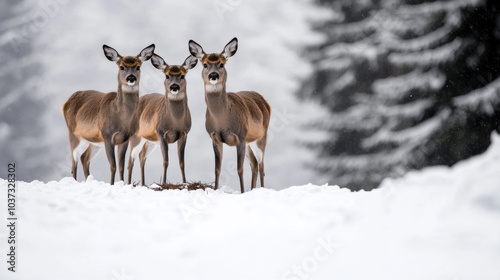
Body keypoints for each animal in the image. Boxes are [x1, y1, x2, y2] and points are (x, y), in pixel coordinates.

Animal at [63, 43, 155, 185]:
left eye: (138, 67)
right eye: (121, 67)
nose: (131, 78)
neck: (120, 117)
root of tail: (66, 102)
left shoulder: (125, 138)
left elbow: (121, 166)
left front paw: (122, 183)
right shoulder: (107, 135)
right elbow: (113, 166)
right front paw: (112, 184)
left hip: (93, 141)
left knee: (84, 158)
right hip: (73, 133)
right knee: (74, 161)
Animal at [127, 52, 197, 186]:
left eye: (182, 76)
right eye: (167, 75)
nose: (174, 86)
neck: (175, 122)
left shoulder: (184, 133)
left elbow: (182, 162)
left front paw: (184, 182)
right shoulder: (161, 132)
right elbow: (165, 161)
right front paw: (164, 183)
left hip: (150, 140)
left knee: (142, 156)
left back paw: (143, 183)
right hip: (136, 136)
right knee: (130, 160)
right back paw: (128, 183)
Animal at [189, 38, 272, 194]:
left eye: (222, 64)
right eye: (205, 64)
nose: (213, 75)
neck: (222, 119)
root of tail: (265, 101)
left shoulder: (240, 135)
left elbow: (239, 169)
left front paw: (242, 192)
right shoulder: (214, 137)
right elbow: (217, 168)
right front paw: (216, 190)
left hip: (261, 137)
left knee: (261, 165)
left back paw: (261, 190)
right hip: (249, 141)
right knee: (254, 165)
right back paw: (253, 189)